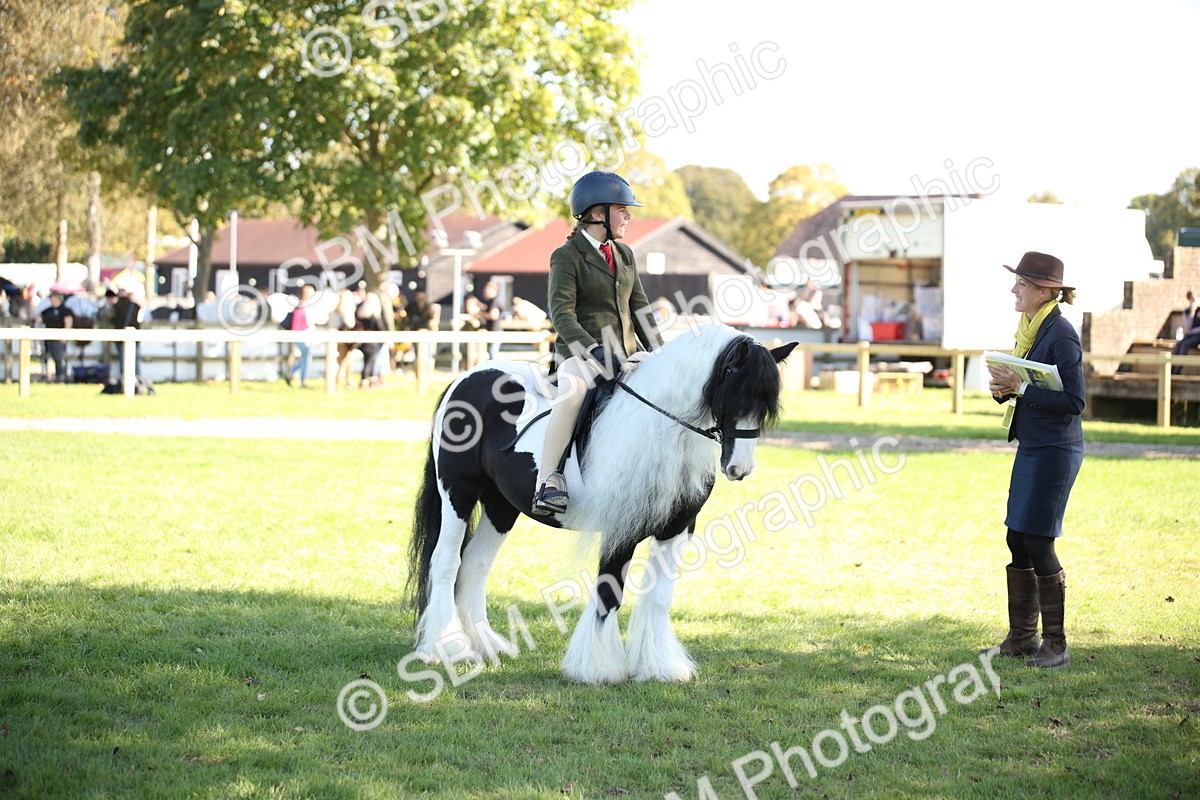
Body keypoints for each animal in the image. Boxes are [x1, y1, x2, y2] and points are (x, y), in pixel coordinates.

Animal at [406, 321, 796, 684]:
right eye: (737, 393)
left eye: (765, 406)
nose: (739, 468)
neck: (658, 428)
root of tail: (464, 379)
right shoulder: (620, 526)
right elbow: (609, 594)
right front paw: (597, 668)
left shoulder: (676, 528)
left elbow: (659, 598)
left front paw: (660, 667)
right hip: (458, 491)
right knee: (446, 562)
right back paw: (449, 648)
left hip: (501, 505)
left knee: (475, 564)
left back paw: (485, 644)